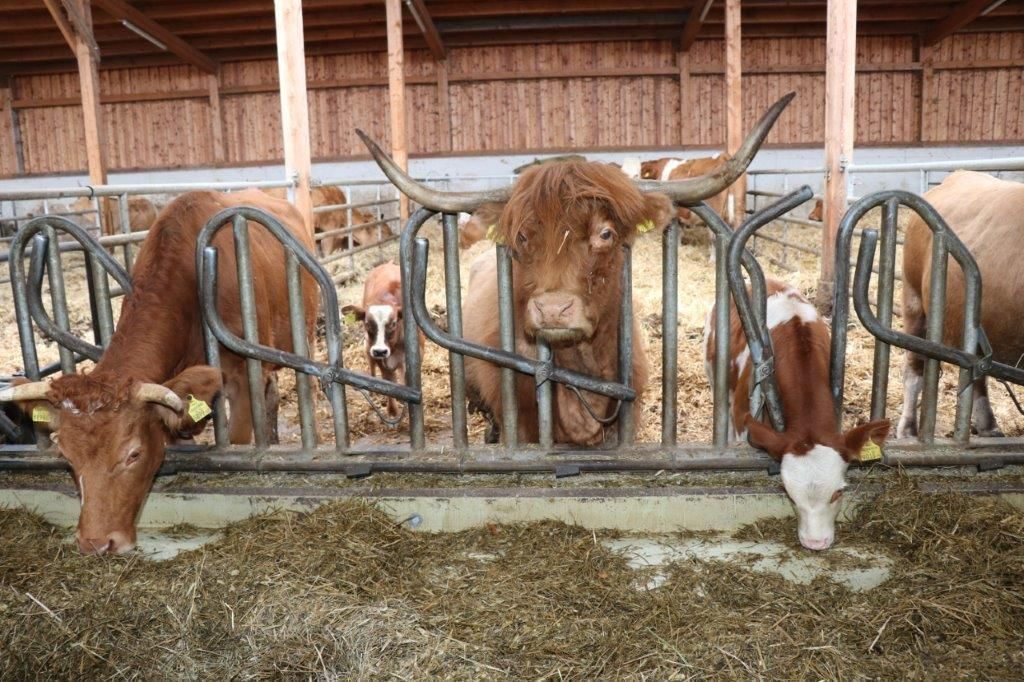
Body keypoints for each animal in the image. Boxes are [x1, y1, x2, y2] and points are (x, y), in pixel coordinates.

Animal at [342, 262, 421, 417]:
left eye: (394, 323)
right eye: (367, 323)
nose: (380, 351)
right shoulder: (377, 356)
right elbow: (389, 382)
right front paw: (393, 411)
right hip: (367, 347)